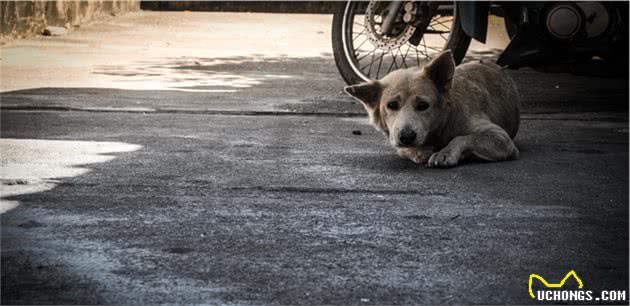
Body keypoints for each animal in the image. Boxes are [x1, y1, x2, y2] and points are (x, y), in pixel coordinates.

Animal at [348, 51, 520, 169]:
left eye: (423, 105)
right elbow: (409, 150)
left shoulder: (502, 139)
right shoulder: (398, 142)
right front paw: (422, 152)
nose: (406, 137)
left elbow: (462, 138)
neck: (441, 127)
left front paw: (445, 152)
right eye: (392, 105)